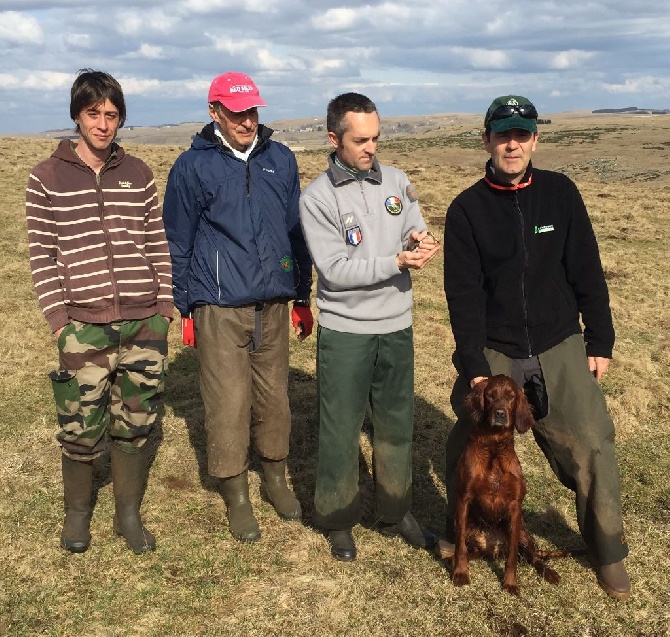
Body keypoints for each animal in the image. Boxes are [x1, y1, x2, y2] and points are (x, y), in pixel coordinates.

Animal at [452, 376, 568, 592]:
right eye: (490, 395)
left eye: (511, 396)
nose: (499, 413)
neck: (494, 449)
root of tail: (494, 547)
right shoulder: (463, 498)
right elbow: (460, 547)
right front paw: (460, 573)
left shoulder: (515, 507)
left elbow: (513, 556)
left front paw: (510, 583)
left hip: (522, 530)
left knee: (534, 557)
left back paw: (549, 572)